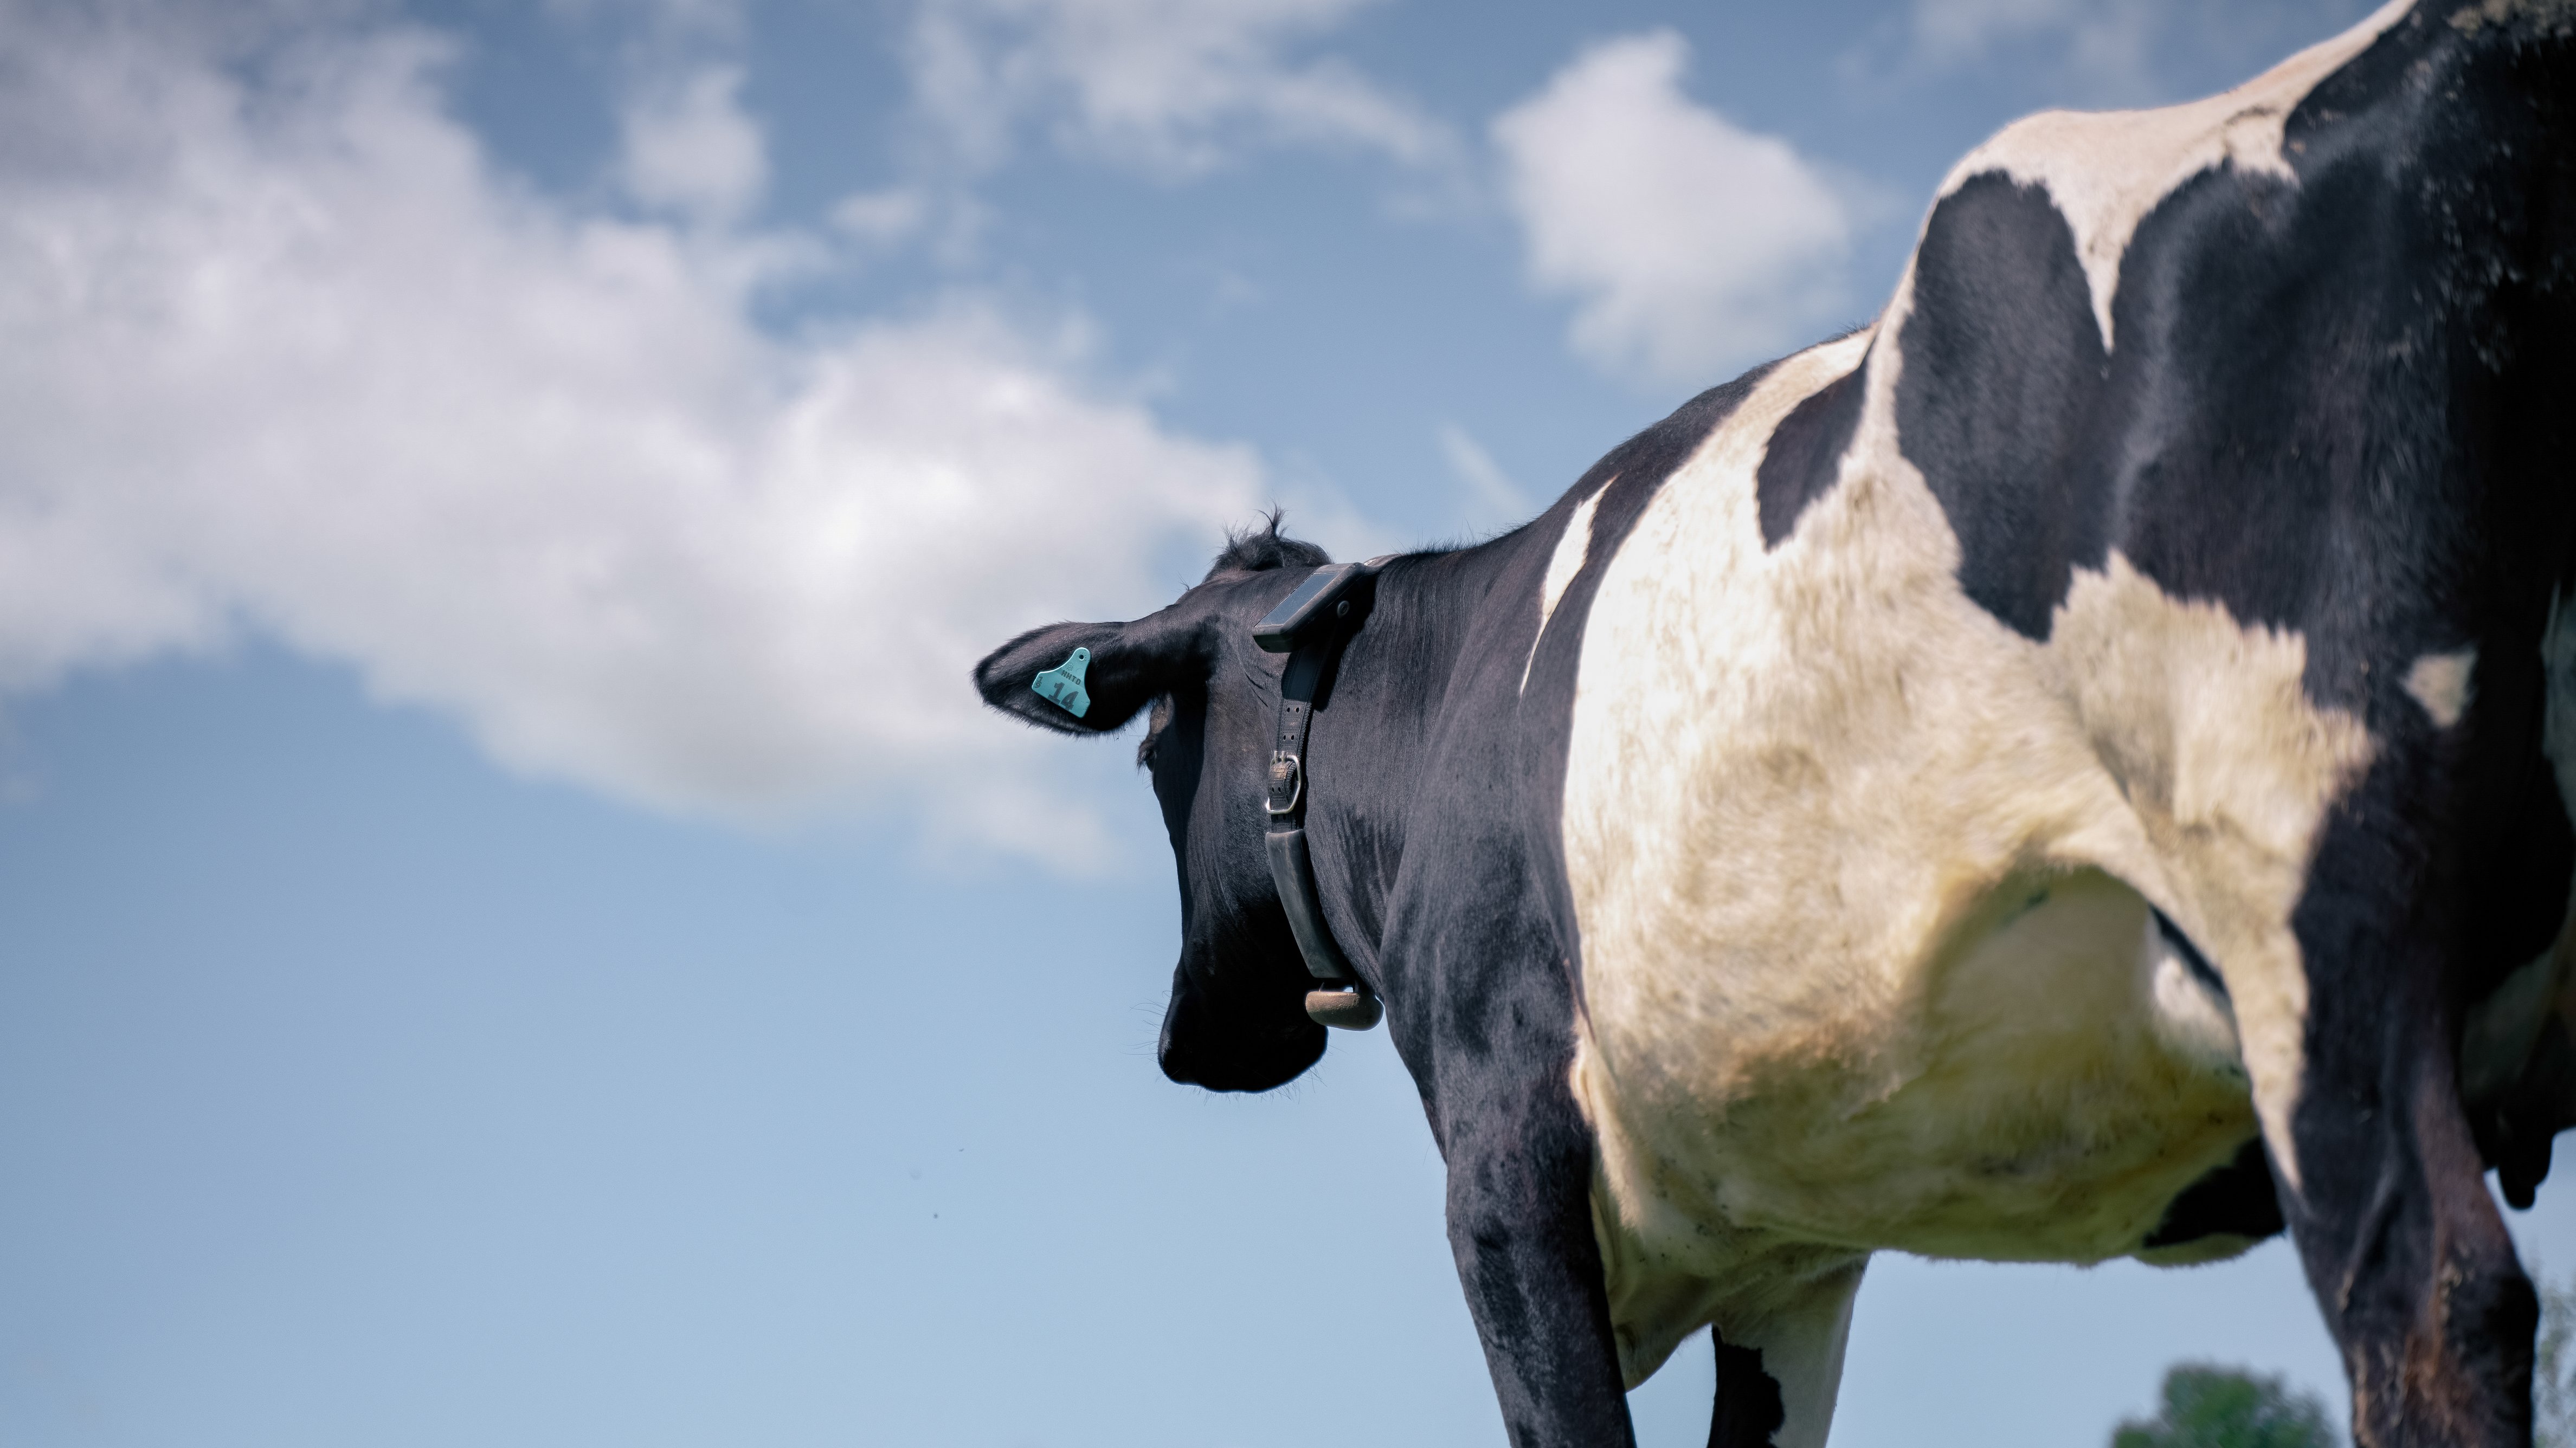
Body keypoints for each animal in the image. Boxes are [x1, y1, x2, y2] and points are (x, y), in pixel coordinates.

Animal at [971, 3, 2576, 1444]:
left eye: (1151, 750)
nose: (1189, 1042)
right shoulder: (1790, 1256)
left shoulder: (1502, 1166)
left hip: (2304, 896)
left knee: (2431, 1293)